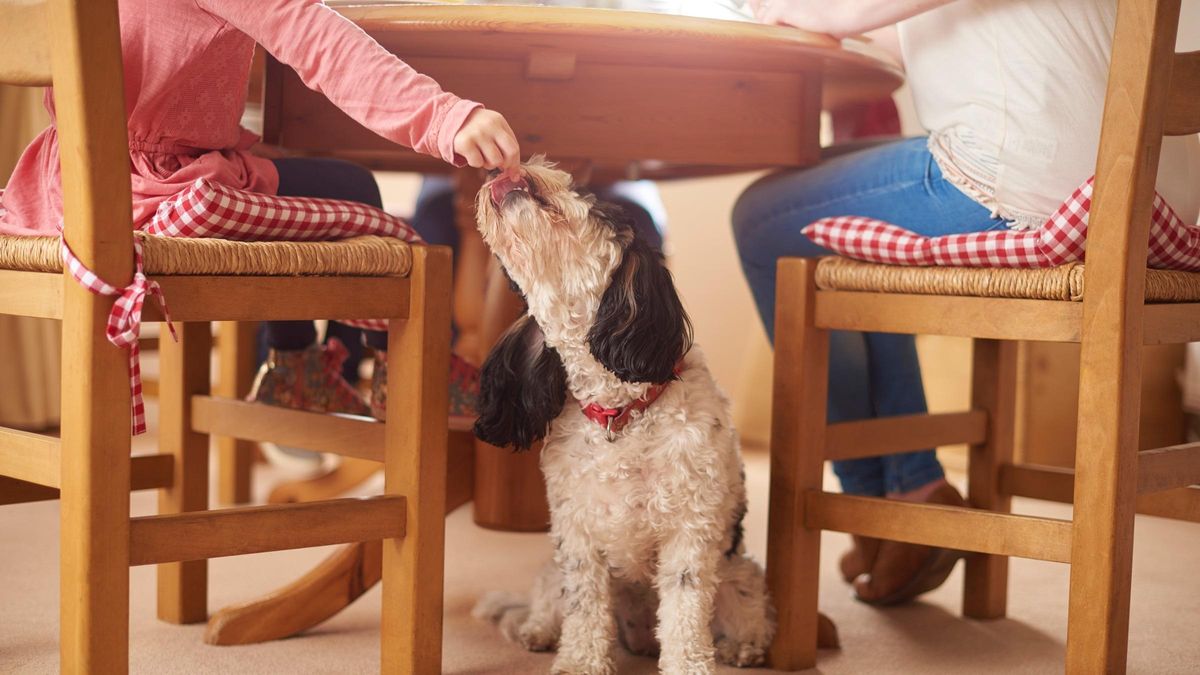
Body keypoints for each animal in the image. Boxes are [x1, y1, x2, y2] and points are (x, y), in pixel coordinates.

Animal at [470, 158, 835, 672]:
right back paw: (534, 631)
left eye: (597, 205)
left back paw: (737, 647)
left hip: (737, 576)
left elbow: (684, 615)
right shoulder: (577, 534)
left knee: (740, 616)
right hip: (556, 573)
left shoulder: (690, 532)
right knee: (547, 604)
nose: (506, 168)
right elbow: (584, 611)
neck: (621, 412)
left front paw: (690, 665)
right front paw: (579, 663)